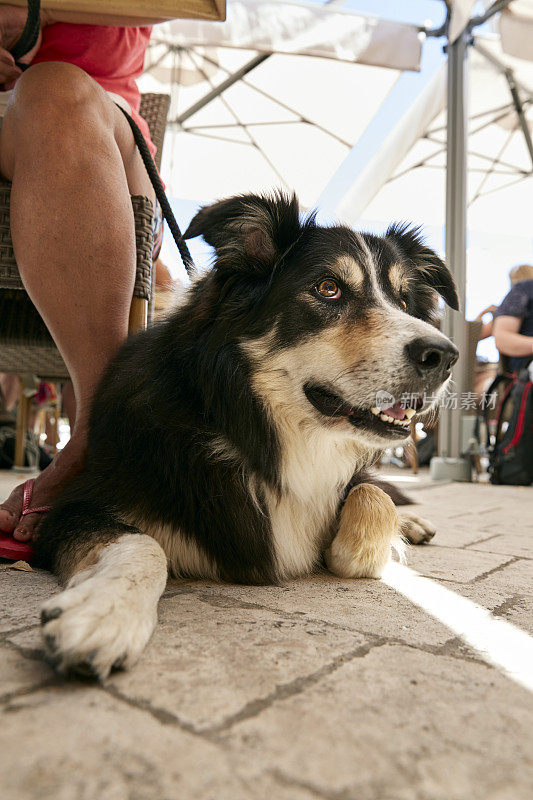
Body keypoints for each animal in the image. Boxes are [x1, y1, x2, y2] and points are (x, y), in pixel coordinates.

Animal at [34, 191, 458, 680]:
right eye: (327, 288)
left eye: (405, 301)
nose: (445, 356)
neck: (248, 424)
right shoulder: (69, 510)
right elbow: (143, 543)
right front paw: (103, 612)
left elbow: (372, 498)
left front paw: (354, 548)